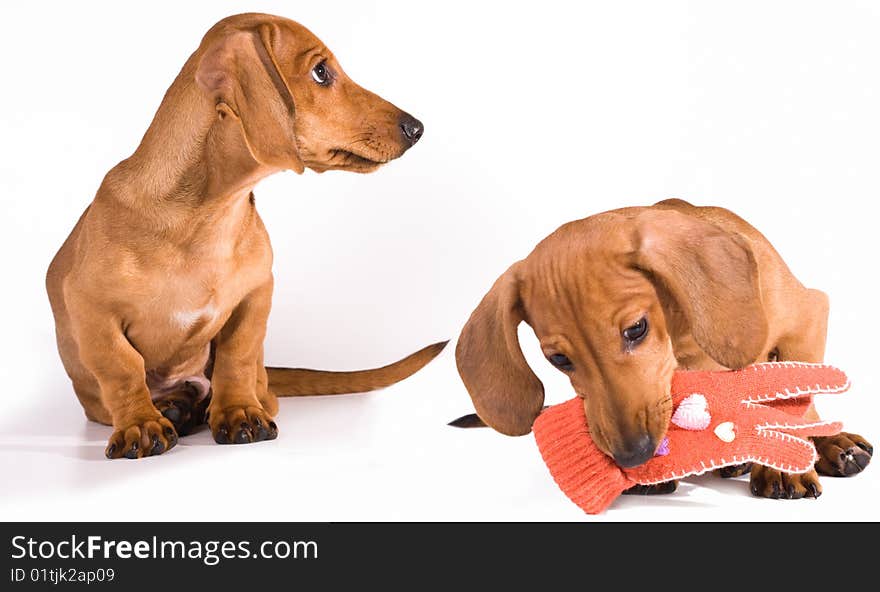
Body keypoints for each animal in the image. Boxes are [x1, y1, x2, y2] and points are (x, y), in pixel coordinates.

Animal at [44, 12, 444, 458]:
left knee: (253, 384)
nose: (417, 128)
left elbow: (236, 355)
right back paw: (172, 406)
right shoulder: (90, 307)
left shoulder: (256, 292)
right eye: (321, 72)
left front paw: (238, 412)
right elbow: (121, 367)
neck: (210, 214)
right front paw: (140, 424)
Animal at [454, 200, 872, 500]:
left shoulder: (808, 318)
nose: (632, 457)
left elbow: (795, 403)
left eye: (636, 329)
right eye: (558, 359)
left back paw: (837, 445)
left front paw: (785, 465)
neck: (683, 332)